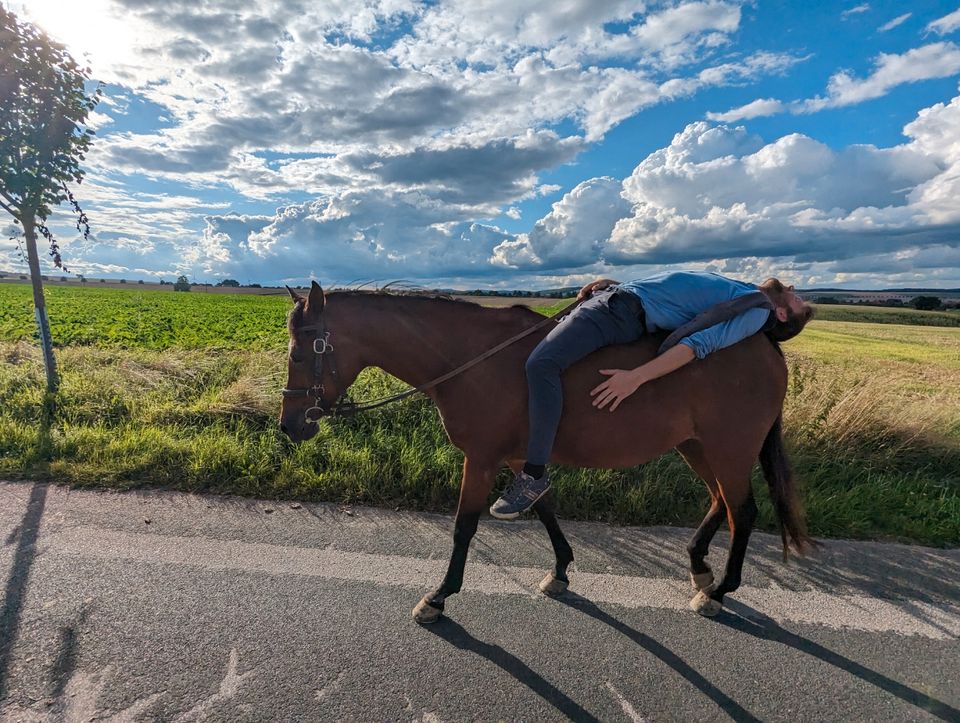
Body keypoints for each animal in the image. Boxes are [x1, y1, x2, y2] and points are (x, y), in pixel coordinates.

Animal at [282, 282, 812, 624]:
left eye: (298, 353)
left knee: (743, 511)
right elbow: (544, 506)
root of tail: (766, 345)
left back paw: (719, 591)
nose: (290, 425)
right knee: (720, 501)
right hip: (696, 446)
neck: (469, 358)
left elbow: (464, 527)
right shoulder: (521, 460)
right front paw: (559, 571)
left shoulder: (482, 458)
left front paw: (438, 597)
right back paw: (700, 567)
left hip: (728, 449)